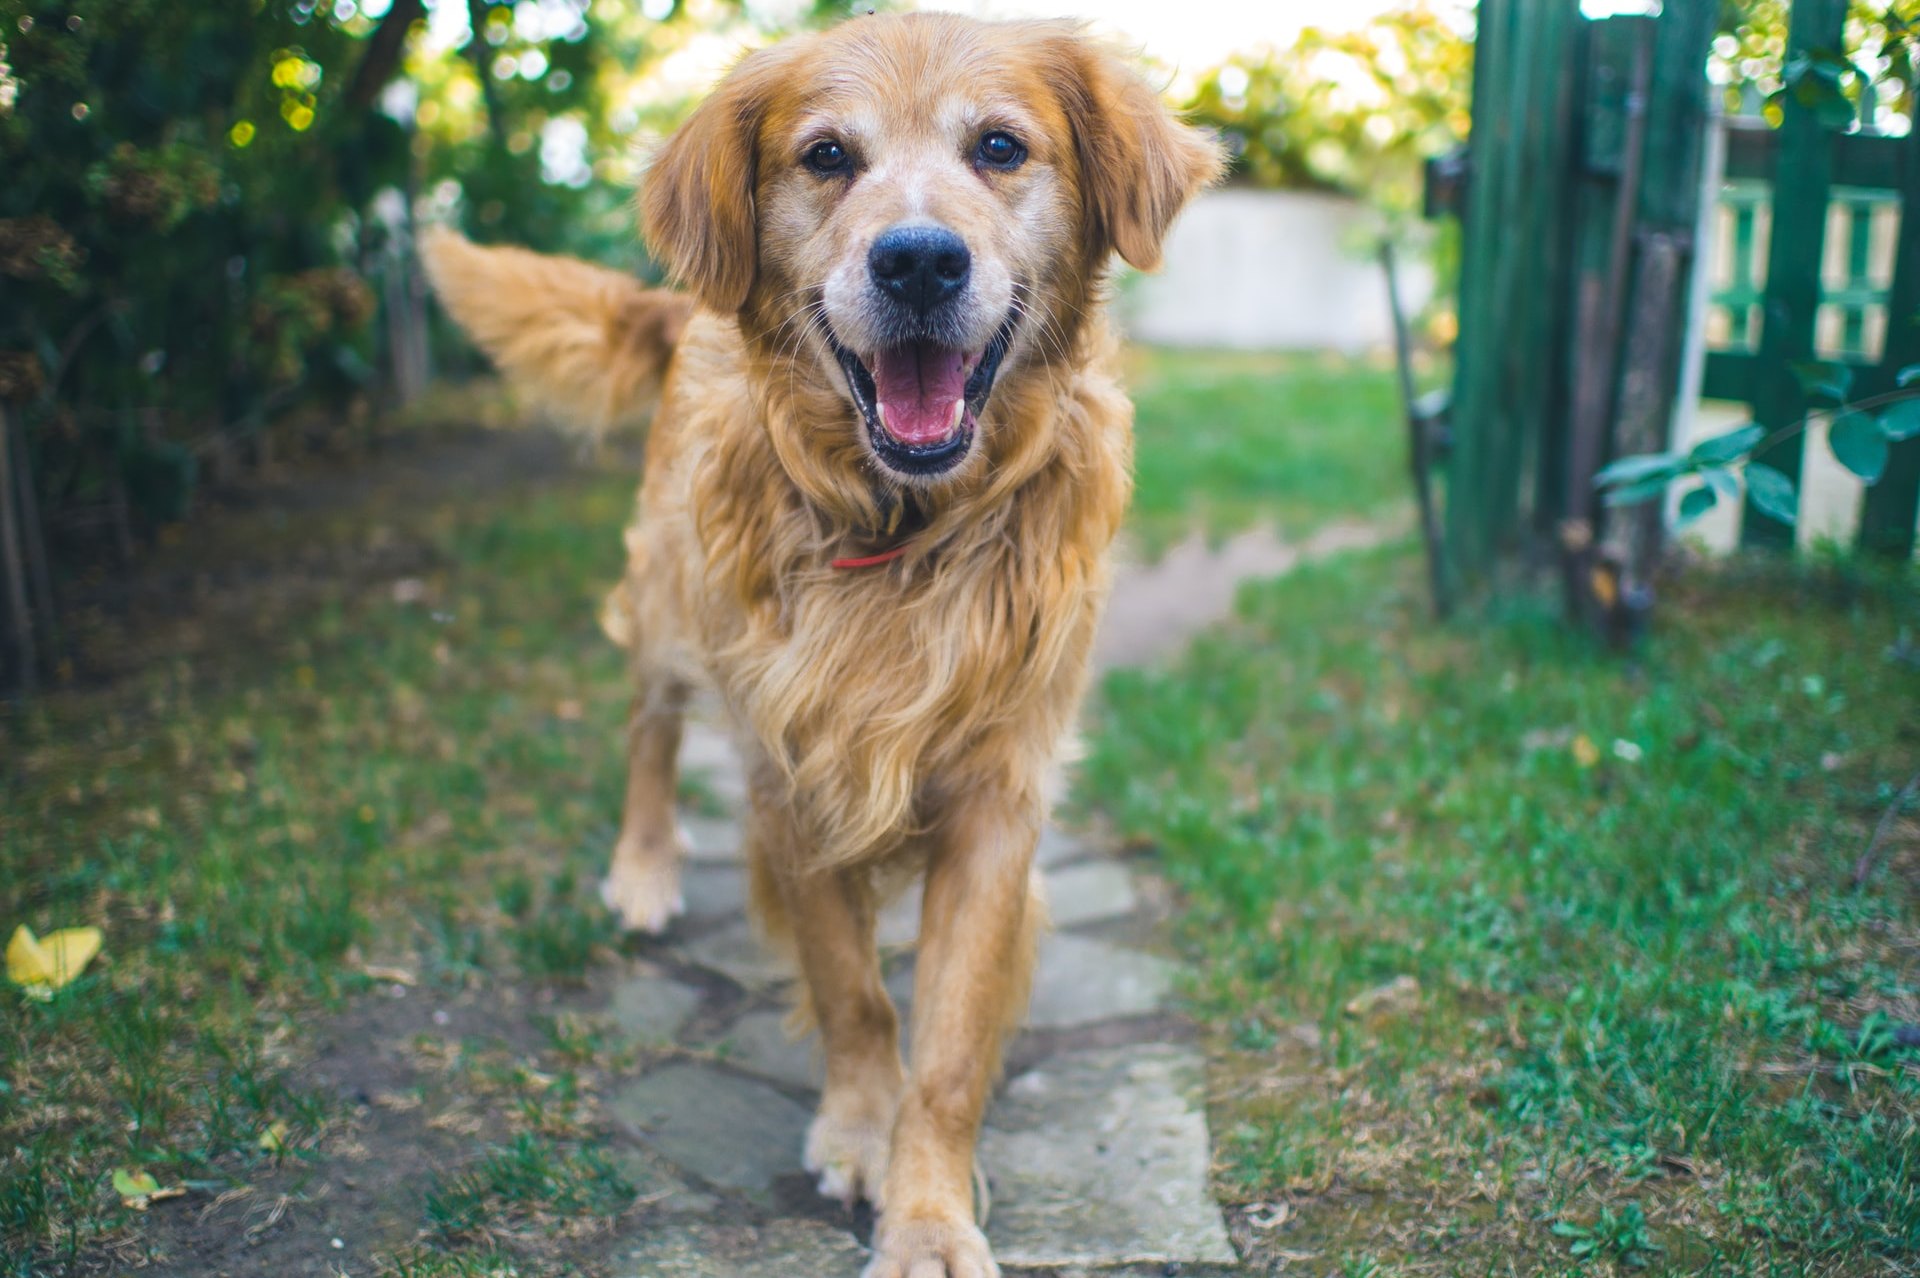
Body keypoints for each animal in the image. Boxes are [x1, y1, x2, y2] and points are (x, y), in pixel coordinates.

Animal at [428, 14, 1221, 1266]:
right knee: (649, 731)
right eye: (827, 157)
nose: (919, 262)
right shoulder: (789, 775)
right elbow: (855, 992)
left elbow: (948, 1044)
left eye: (1001, 147)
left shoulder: (999, 797)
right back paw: (645, 867)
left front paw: (928, 1212)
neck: (906, 533)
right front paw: (860, 1133)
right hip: (670, 607)